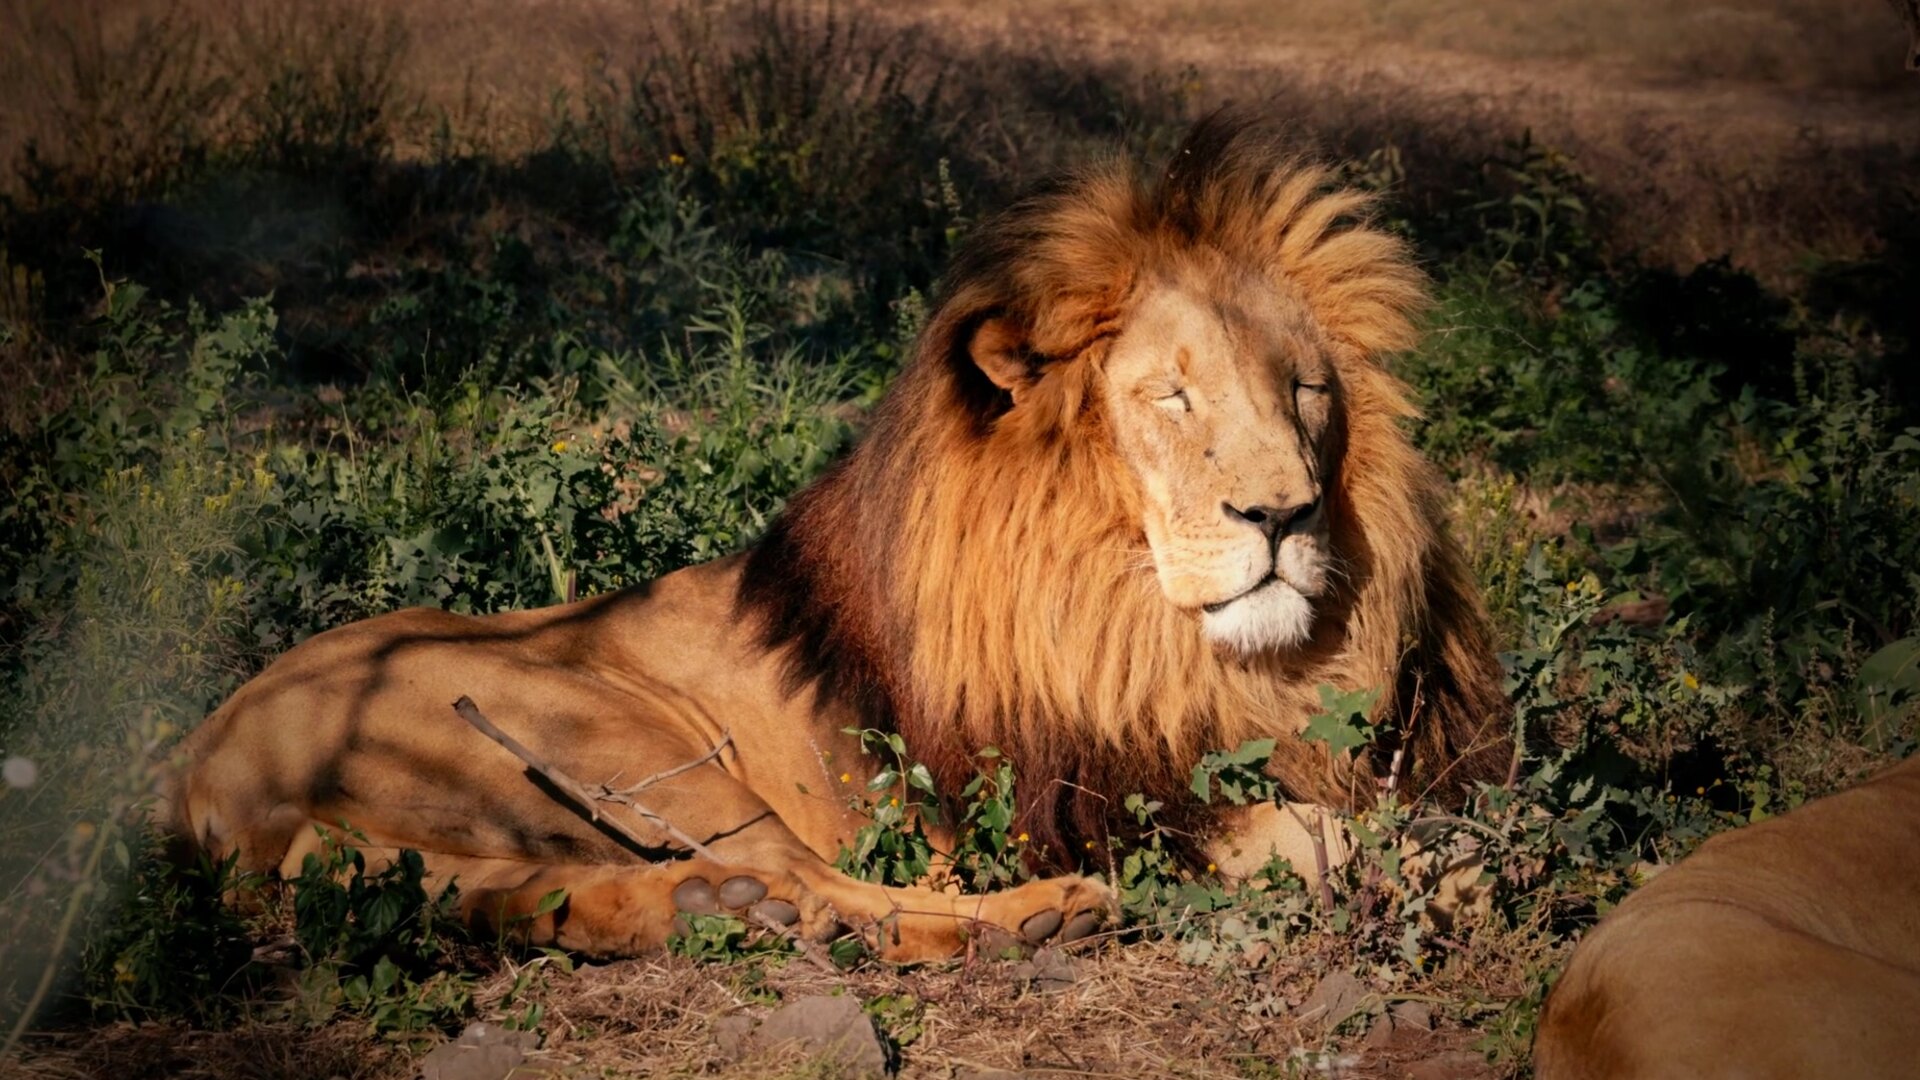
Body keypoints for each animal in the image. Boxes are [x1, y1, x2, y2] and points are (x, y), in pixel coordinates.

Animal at [166, 113, 1510, 962]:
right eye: (1171, 397)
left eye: (1306, 392)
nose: (1282, 513)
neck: (1144, 620)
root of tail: (195, 763)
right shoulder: (1081, 798)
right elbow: (1317, 832)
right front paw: (1444, 872)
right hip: (614, 739)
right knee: (832, 884)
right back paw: (1033, 921)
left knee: (552, 896)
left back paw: (702, 908)